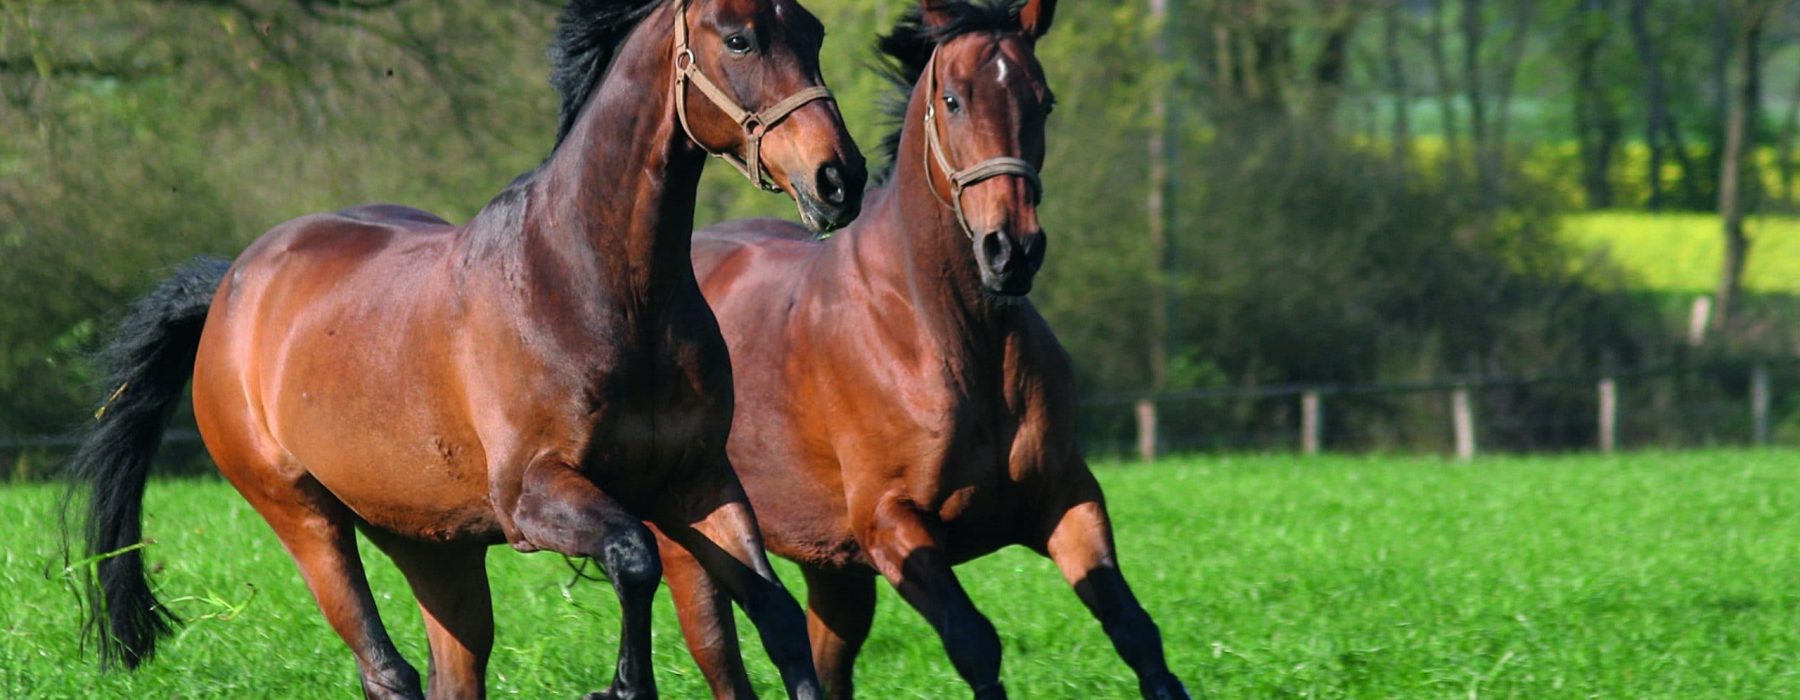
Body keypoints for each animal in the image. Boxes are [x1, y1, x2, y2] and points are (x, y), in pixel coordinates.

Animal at [61, 0, 866, 697]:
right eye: (738, 39)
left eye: (816, 31)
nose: (840, 178)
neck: (599, 286)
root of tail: (231, 285)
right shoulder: (535, 495)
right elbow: (635, 558)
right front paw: (621, 686)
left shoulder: (698, 481)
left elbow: (778, 615)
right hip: (304, 519)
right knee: (388, 671)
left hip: (432, 545)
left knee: (452, 672)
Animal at [655, 0, 1189, 697]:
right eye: (953, 100)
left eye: (1043, 101)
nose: (1011, 250)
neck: (948, 340)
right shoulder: (893, 523)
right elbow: (975, 642)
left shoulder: (1067, 499)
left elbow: (1137, 632)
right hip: (692, 541)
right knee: (715, 645)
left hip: (834, 567)